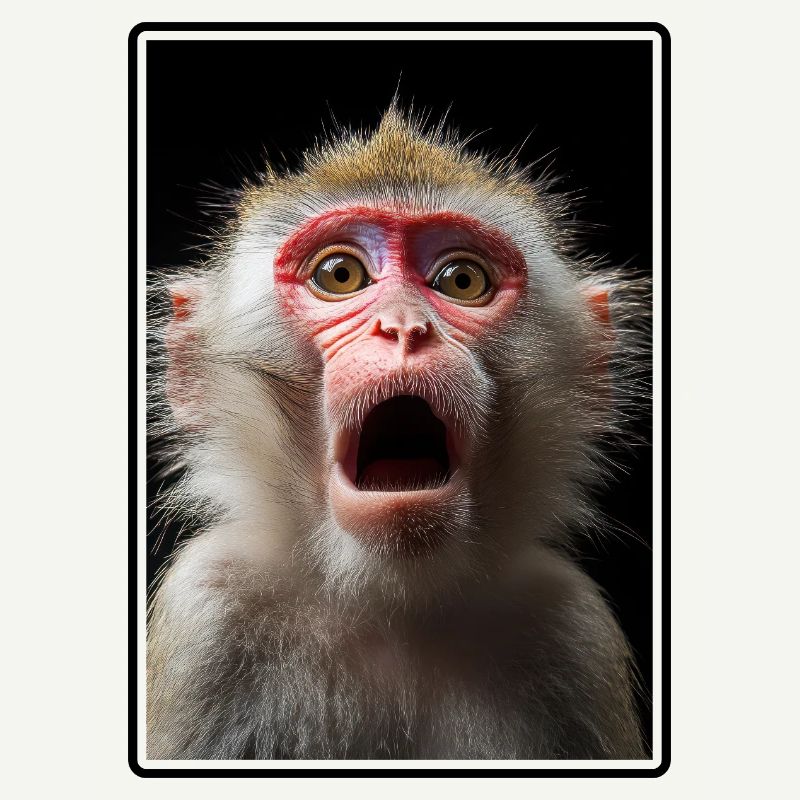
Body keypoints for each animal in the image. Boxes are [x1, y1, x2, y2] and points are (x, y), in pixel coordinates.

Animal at [146, 105, 651, 761]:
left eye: (461, 280)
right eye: (340, 274)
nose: (405, 327)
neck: (393, 602)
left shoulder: (572, 630)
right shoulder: (208, 611)